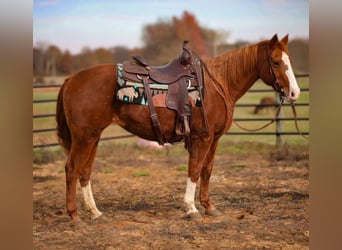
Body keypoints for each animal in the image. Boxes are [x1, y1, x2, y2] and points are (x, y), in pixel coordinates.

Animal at [55, 33, 300, 223]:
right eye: (275, 62)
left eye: (289, 60)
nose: (294, 93)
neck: (218, 84)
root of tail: (71, 79)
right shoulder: (202, 138)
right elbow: (194, 171)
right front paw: (191, 209)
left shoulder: (214, 139)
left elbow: (207, 171)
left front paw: (209, 207)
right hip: (84, 138)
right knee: (72, 169)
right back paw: (74, 216)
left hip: (93, 138)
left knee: (85, 172)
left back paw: (95, 213)